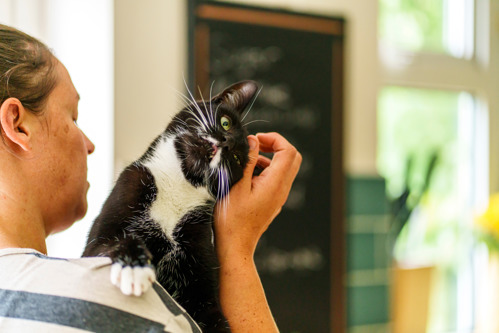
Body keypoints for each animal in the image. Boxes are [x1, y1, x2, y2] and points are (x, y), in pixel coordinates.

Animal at [82, 81, 260, 332]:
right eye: (225, 122)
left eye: (235, 159)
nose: (226, 143)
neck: (177, 185)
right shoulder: (127, 189)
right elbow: (115, 241)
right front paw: (134, 267)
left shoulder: (202, 278)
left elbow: (212, 314)